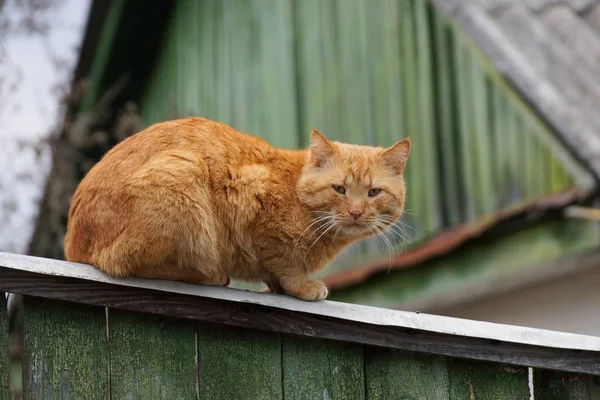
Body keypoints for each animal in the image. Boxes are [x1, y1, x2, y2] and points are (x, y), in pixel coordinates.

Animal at [65, 117, 410, 302]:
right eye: (339, 189)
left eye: (373, 192)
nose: (356, 212)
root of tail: (72, 244)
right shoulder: (254, 201)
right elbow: (285, 263)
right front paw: (301, 287)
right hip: (182, 175)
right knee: (123, 263)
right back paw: (209, 275)